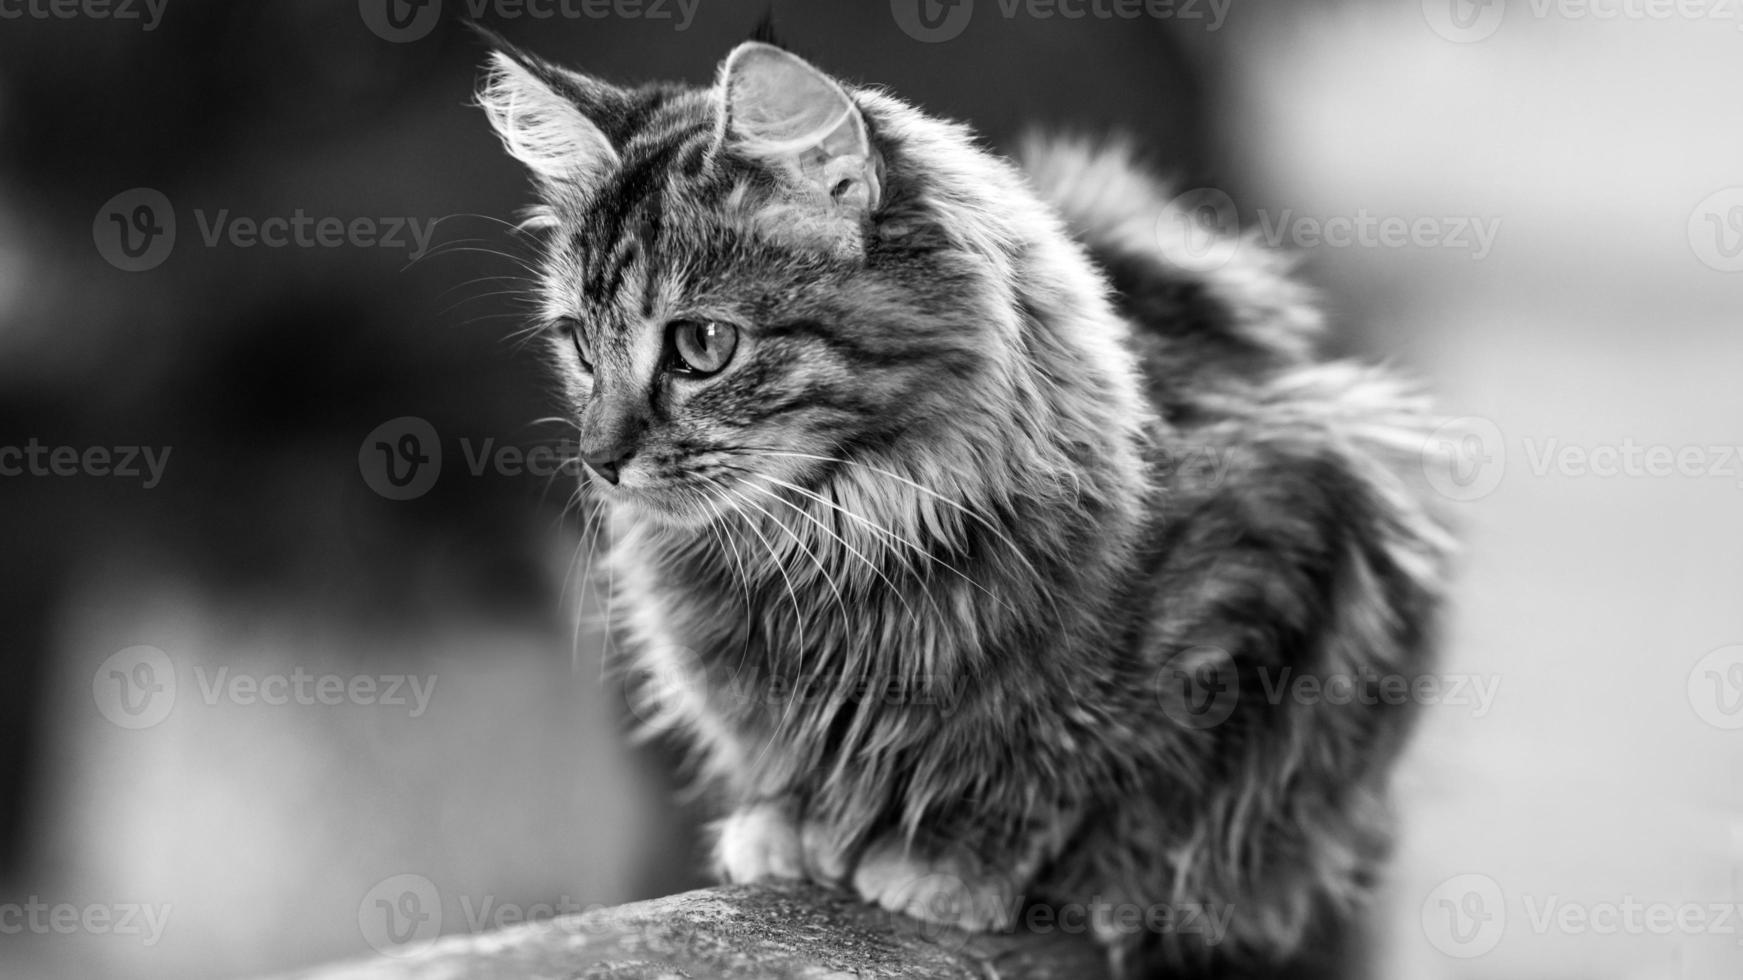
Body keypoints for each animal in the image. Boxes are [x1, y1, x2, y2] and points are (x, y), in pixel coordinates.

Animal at [470, 28, 1450, 976]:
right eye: (579, 346)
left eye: (702, 345)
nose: (599, 460)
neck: (835, 544)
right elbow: (783, 763)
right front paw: (788, 827)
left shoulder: (1271, 576)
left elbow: (1088, 777)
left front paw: (956, 861)